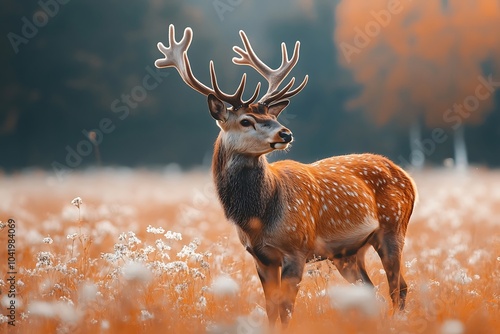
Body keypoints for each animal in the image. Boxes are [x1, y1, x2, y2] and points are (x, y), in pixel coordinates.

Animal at [155, 24, 418, 328]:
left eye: (272, 116)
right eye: (246, 120)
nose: (286, 133)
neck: (258, 216)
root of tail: (407, 177)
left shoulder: (297, 248)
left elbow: (286, 309)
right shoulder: (261, 257)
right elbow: (271, 309)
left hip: (393, 227)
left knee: (398, 287)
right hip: (348, 253)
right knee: (371, 290)